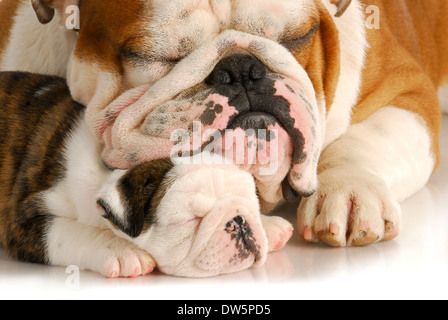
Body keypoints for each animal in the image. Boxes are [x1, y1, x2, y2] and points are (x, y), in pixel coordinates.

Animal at [0, 0, 444, 248]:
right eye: (150, 55)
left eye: (296, 37)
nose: (242, 69)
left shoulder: (407, 91)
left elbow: (365, 140)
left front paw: (348, 192)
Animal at [0, 72, 294, 278]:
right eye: (190, 220)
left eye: (251, 203)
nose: (239, 222)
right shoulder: (24, 222)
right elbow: (68, 231)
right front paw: (121, 251)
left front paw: (268, 225)